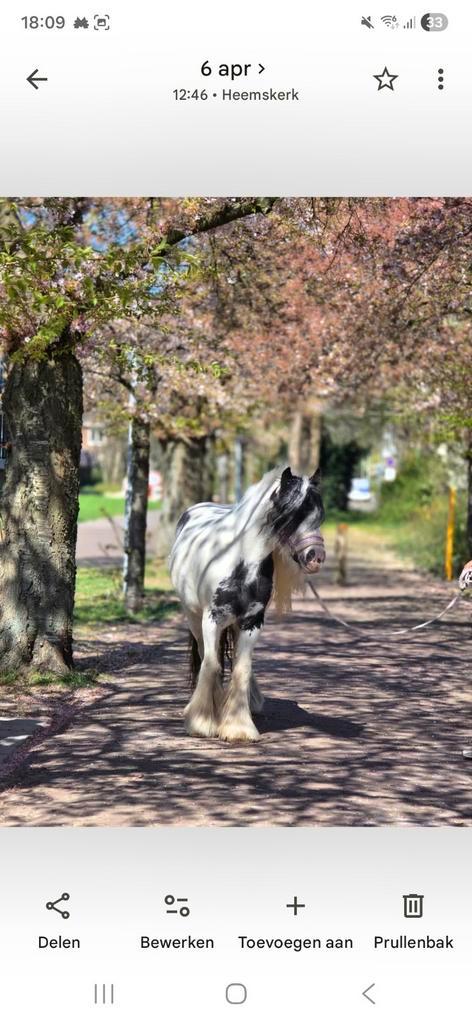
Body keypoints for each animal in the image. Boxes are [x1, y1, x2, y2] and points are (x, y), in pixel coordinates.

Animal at [169, 465, 326, 743]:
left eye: (320, 516)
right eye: (290, 515)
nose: (315, 558)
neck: (238, 561)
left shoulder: (253, 621)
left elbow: (241, 668)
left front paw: (238, 726)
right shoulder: (212, 619)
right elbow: (211, 664)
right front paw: (202, 722)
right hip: (193, 617)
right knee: (205, 655)